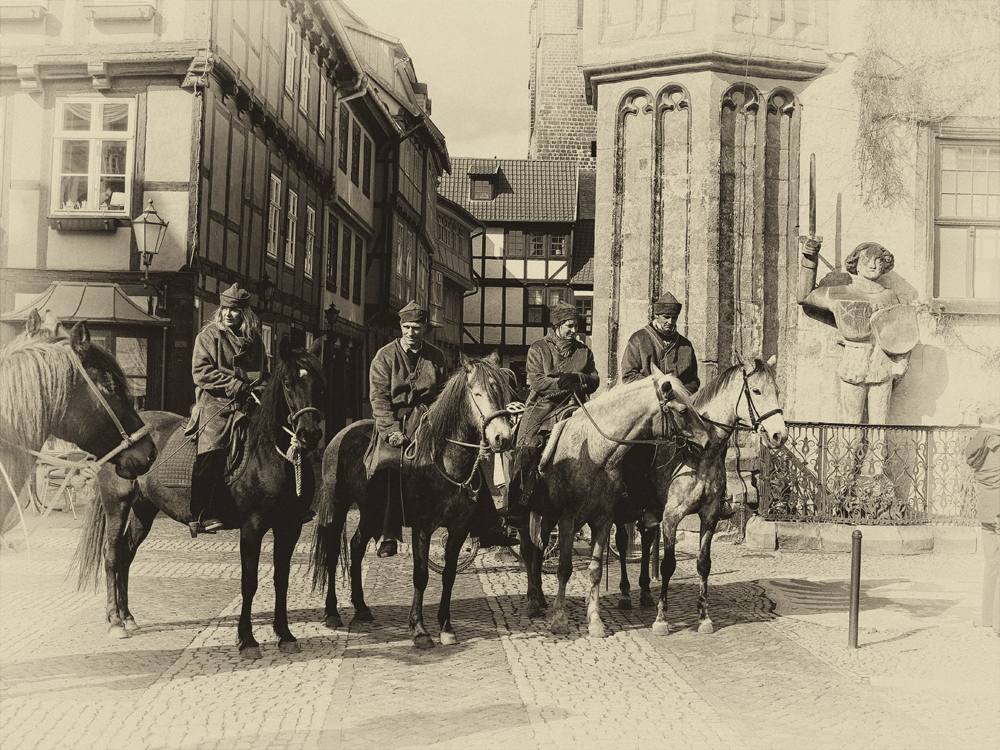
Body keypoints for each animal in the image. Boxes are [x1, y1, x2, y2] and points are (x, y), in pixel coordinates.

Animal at [74, 340, 324, 656]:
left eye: (318, 382)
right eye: (288, 384)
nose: (309, 434)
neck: (272, 454)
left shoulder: (289, 527)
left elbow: (281, 579)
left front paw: (285, 634)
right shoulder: (252, 527)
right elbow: (249, 581)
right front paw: (247, 639)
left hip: (144, 510)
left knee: (126, 555)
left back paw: (127, 616)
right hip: (117, 505)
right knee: (112, 556)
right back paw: (115, 621)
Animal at [312, 352, 516, 652]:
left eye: (502, 392)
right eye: (477, 393)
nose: (503, 438)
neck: (445, 460)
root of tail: (340, 435)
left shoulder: (458, 529)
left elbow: (449, 575)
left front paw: (446, 627)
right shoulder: (423, 528)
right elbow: (421, 575)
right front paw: (419, 630)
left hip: (370, 512)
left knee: (357, 547)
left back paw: (361, 607)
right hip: (338, 507)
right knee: (332, 553)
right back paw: (331, 612)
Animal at [516, 368, 712, 636]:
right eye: (683, 410)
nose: (707, 441)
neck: (595, 453)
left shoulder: (604, 520)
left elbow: (595, 571)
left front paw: (595, 621)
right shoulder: (567, 520)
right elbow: (564, 569)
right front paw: (559, 619)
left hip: (547, 515)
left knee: (539, 549)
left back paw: (542, 598)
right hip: (529, 514)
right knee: (529, 551)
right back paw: (534, 601)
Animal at [608, 356, 788, 636]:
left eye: (777, 391)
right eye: (757, 391)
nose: (780, 436)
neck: (699, 453)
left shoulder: (709, 515)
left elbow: (703, 564)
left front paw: (704, 617)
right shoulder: (672, 517)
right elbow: (668, 565)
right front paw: (661, 619)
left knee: (647, 541)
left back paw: (646, 591)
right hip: (623, 509)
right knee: (624, 540)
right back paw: (626, 594)